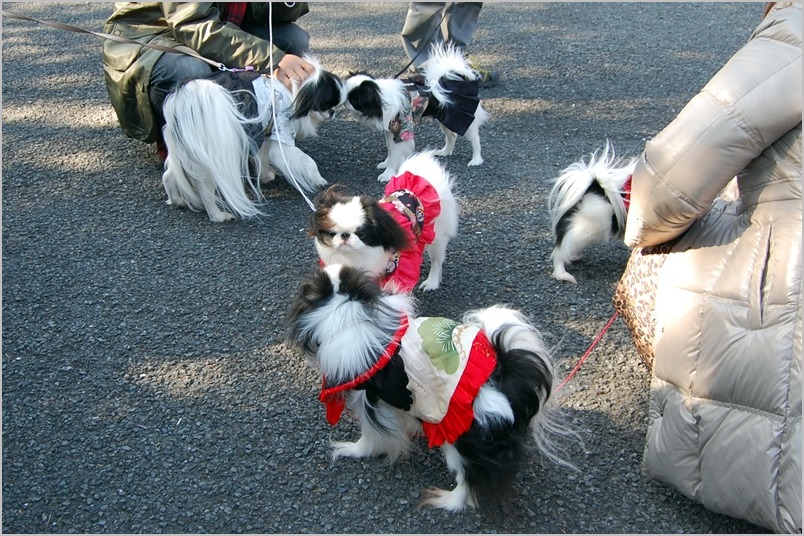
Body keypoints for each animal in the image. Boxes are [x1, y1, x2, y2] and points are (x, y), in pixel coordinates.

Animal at [159, 58, 344, 224]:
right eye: (326, 104)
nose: (333, 112)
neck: (292, 90)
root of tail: (184, 97)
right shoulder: (282, 134)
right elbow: (307, 161)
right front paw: (319, 180)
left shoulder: (266, 134)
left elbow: (262, 157)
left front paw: (266, 176)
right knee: (206, 192)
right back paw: (218, 216)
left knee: (169, 175)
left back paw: (176, 200)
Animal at [286, 262, 576, 510]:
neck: (348, 309)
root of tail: (506, 376)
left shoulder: (369, 400)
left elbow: (370, 437)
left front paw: (353, 451)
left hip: (462, 437)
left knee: (468, 480)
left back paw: (447, 501)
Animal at [308, 151, 458, 294]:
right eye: (332, 233)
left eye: (362, 234)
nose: (345, 235)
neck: (357, 256)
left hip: (437, 239)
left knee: (437, 262)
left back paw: (431, 283)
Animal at [342, 44, 486, 182]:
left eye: (353, 99)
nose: (343, 99)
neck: (382, 98)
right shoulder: (390, 131)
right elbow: (390, 150)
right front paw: (386, 163)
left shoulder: (403, 131)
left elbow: (395, 155)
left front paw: (388, 174)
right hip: (445, 118)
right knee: (452, 136)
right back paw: (445, 152)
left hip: (461, 119)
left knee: (475, 139)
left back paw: (476, 160)